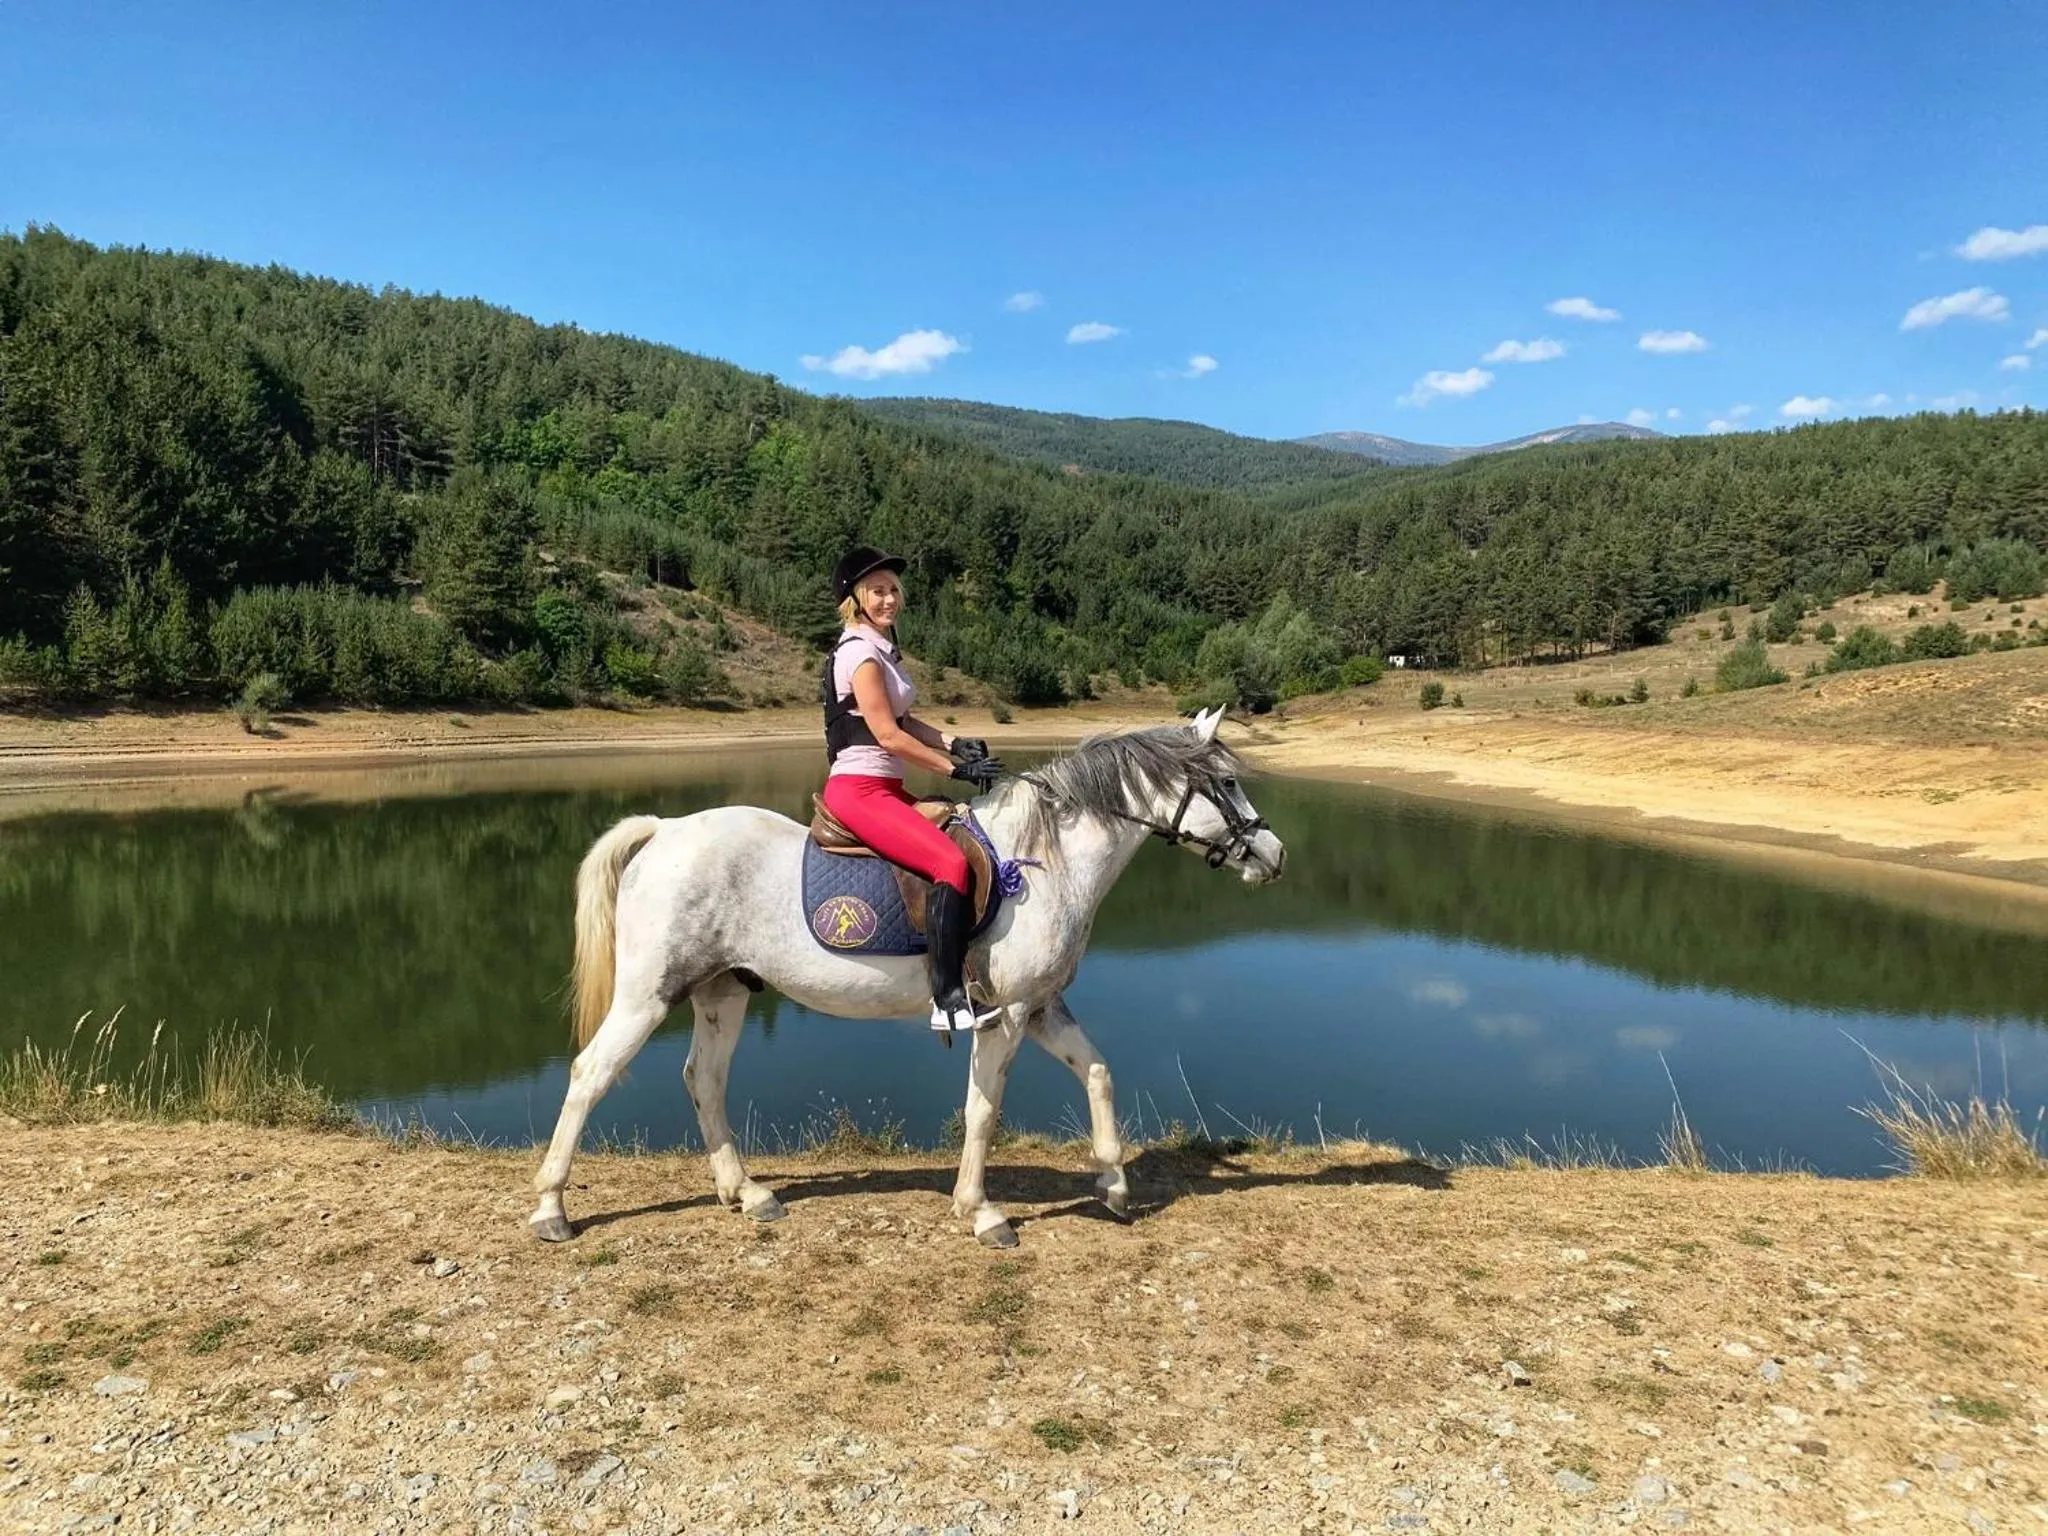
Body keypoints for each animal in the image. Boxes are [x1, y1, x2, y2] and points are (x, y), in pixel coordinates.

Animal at [528, 706, 1287, 1249]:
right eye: (1225, 781)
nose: (1274, 854)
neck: (1045, 864)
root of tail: (664, 829)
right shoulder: (1006, 1016)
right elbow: (983, 1110)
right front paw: (982, 1212)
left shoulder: (1041, 1007)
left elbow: (1097, 1073)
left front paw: (1115, 1185)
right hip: (647, 995)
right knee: (590, 1074)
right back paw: (551, 1209)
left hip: (724, 991)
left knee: (704, 1080)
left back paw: (748, 1194)